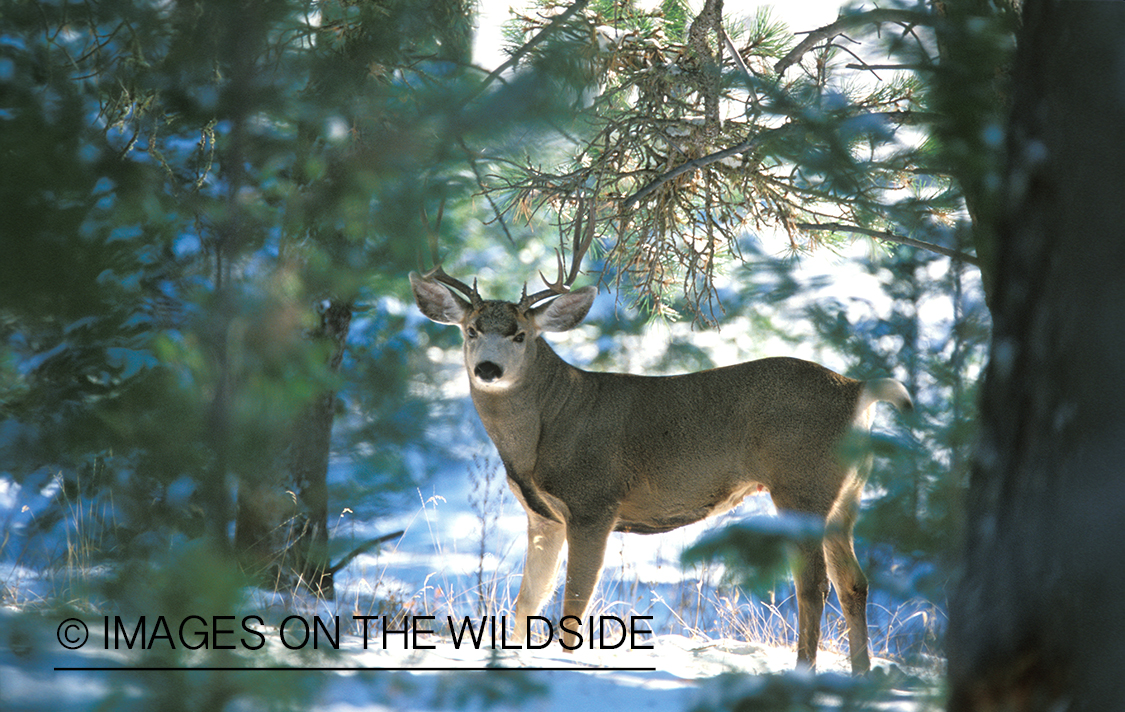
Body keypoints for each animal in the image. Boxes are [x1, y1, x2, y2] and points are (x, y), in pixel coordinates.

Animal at [409, 232, 909, 670]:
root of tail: (858, 390)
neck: (545, 428)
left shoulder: (594, 502)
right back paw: (862, 675)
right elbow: (526, 601)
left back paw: (804, 671)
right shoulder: (543, 516)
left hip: (800, 484)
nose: (488, 369)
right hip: (845, 494)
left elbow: (574, 604)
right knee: (853, 583)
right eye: (471, 330)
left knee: (813, 585)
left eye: (520, 335)